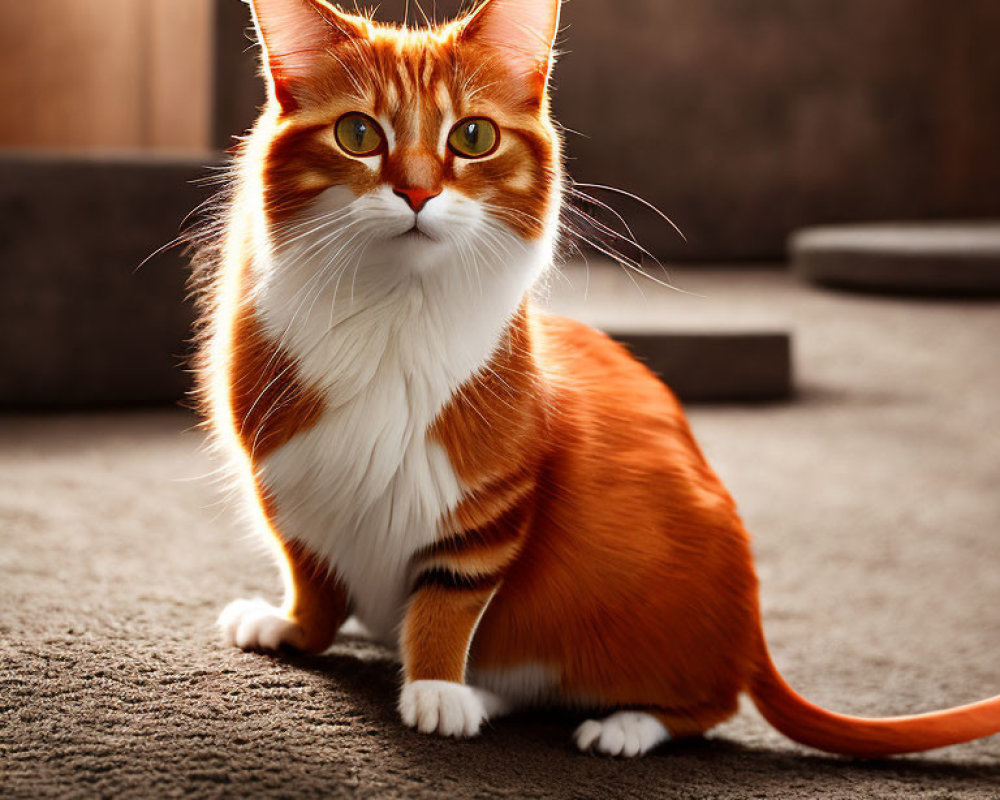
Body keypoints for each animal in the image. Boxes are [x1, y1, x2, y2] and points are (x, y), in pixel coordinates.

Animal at [199, 0, 996, 756]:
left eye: (473, 137)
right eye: (358, 134)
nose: (418, 194)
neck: (393, 309)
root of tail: (752, 637)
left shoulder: (493, 507)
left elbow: (447, 605)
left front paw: (436, 689)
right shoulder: (286, 483)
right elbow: (312, 580)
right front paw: (292, 628)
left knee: (713, 704)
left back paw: (620, 725)